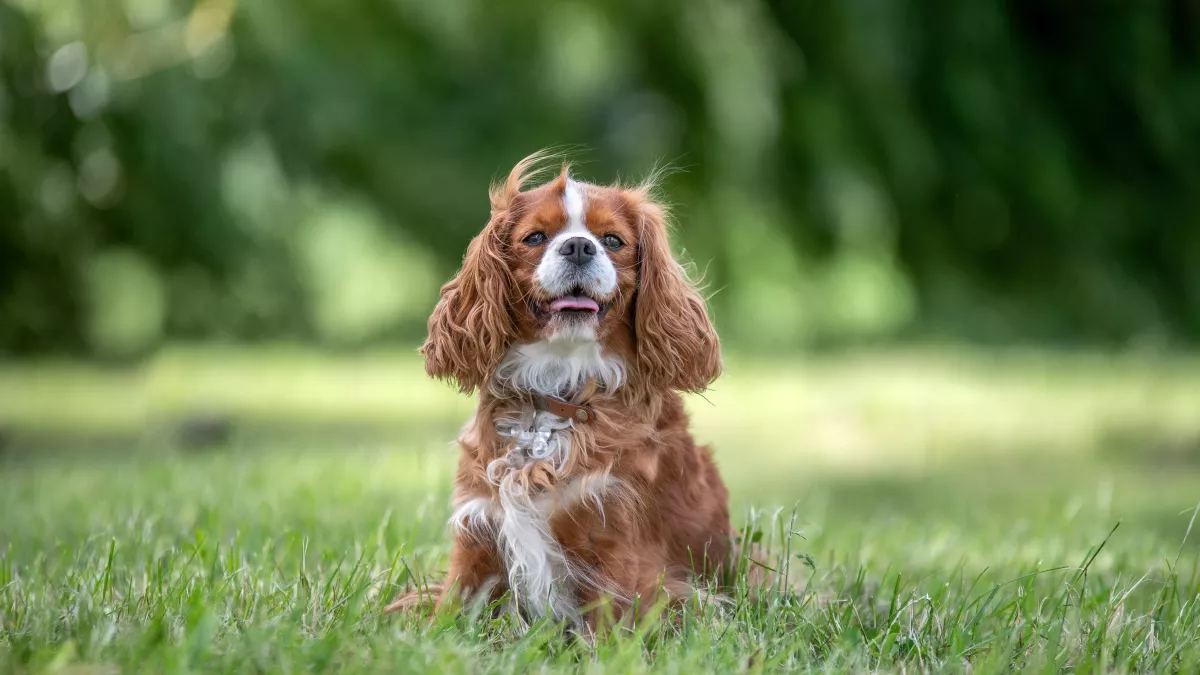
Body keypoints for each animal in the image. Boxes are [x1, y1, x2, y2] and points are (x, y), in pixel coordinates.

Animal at [388, 151, 729, 624]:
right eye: (535, 237)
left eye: (613, 240)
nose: (579, 246)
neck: (555, 390)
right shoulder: (478, 532)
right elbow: (448, 612)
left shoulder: (616, 537)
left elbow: (608, 622)